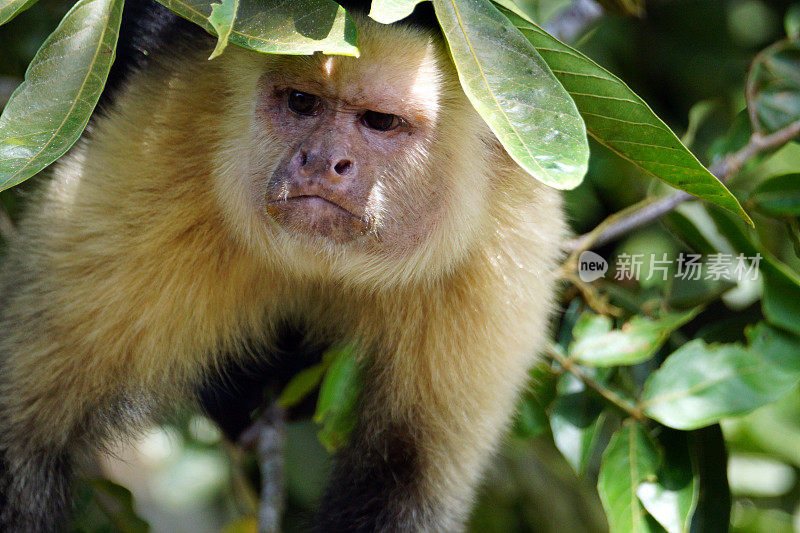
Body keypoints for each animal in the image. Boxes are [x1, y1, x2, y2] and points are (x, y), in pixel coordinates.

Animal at [0, 2, 564, 528]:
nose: (322, 161)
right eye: (301, 102)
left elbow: (404, 481)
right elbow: (22, 440)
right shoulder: (158, 157)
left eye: (380, 121)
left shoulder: (494, 264)